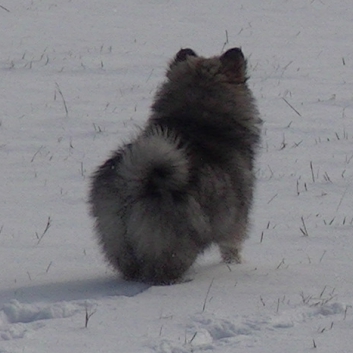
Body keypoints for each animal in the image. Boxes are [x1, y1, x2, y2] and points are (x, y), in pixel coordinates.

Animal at [88, 47, 262, 284]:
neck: (197, 120)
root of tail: (135, 180)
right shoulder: (236, 221)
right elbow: (231, 248)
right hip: (175, 244)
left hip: (116, 239)